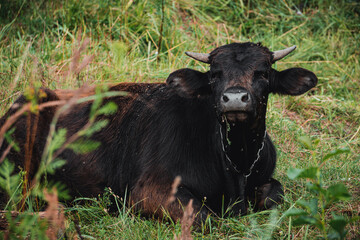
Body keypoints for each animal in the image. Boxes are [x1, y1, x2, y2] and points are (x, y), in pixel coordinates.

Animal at [0, 42, 316, 223]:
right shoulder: (150, 192)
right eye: (215, 74)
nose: (235, 99)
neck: (235, 161)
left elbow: (274, 195)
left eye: (262, 72)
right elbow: (206, 218)